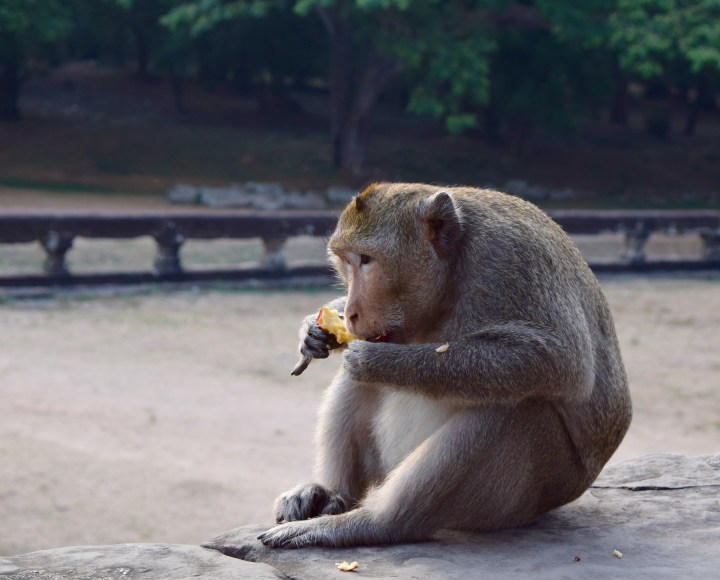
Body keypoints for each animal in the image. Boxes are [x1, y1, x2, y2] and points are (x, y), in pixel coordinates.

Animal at [257, 183, 632, 549]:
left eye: (366, 260)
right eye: (346, 262)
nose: (350, 311)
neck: (451, 276)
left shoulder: (511, 262)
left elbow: (561, 362)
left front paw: (377, 361)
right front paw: (315, 330)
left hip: (526, 495)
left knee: (515, 407)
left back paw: (378, 523)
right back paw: (332, 493)